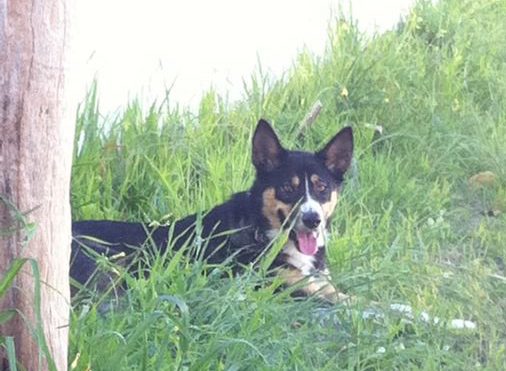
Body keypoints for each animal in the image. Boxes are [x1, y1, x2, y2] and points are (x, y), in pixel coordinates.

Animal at [70, 120, 352, 304]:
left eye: (322, 187)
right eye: (287, 188)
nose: (312, 220)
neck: (260, 230)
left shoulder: (319, 282)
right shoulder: (289, 286)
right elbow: (351, 301)